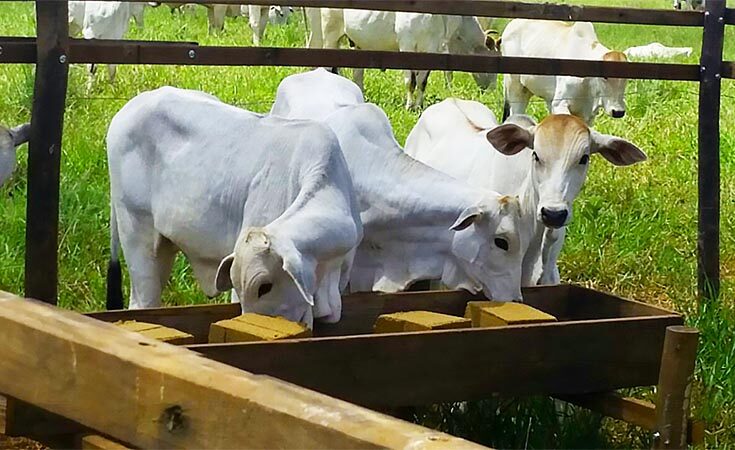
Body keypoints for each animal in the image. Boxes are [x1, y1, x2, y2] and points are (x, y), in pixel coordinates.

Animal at [310, 9, 500, 109]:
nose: (492, 90)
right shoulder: (407, 45)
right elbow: (411, 81)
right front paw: (409, 106)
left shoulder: (432, 49)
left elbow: (422, 81)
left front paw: (419, 105)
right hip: (329, 34)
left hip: (357, 44)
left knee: (357, 74)